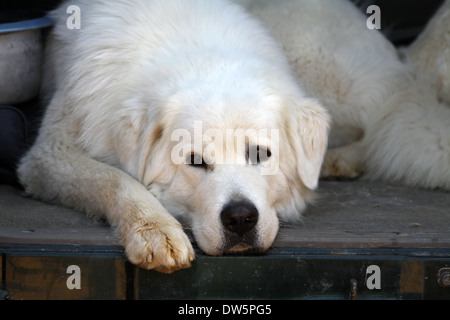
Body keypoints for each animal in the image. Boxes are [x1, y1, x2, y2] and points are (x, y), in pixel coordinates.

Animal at [17, 0, 328, 272]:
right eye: (195, 160)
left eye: (261, 154)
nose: (240, 218)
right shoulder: (49, 154)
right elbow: (117, 179)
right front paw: (154, 229)